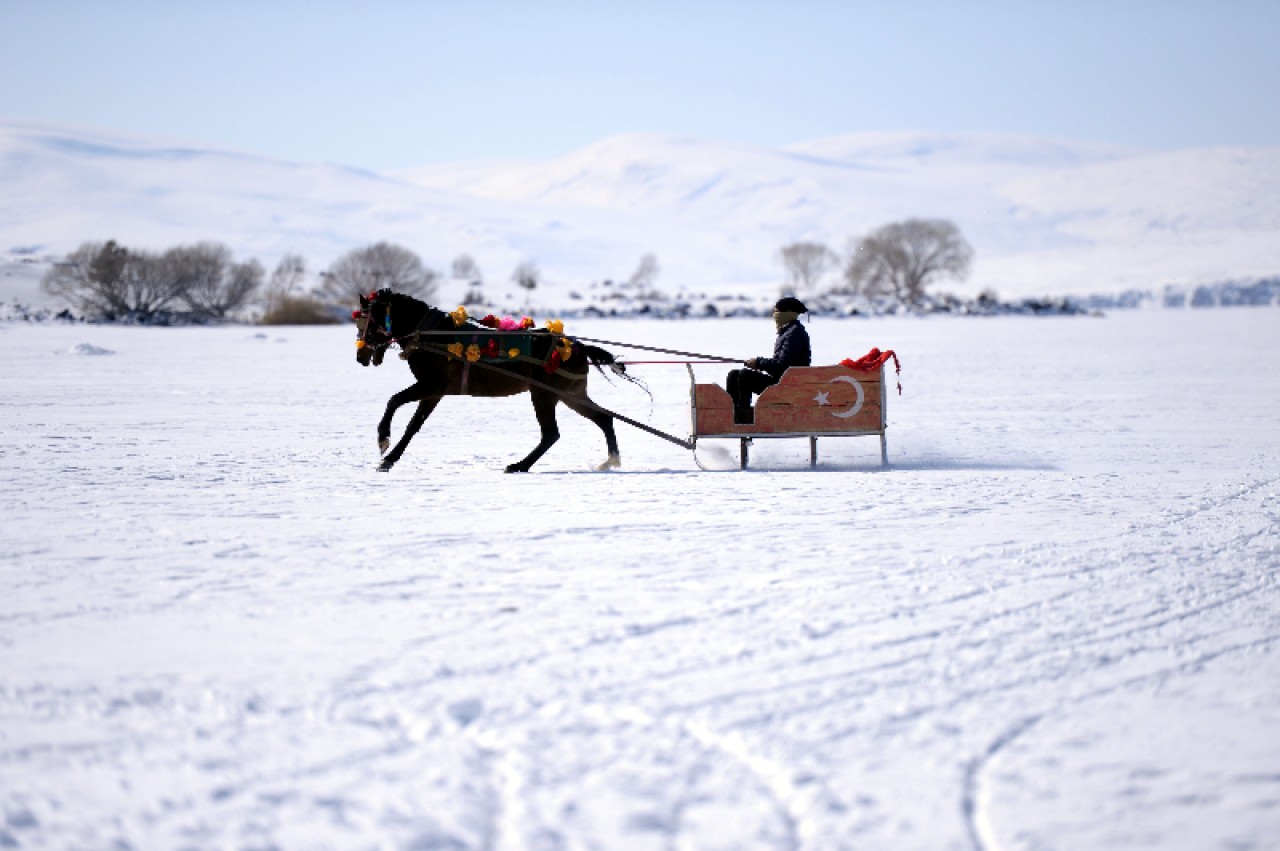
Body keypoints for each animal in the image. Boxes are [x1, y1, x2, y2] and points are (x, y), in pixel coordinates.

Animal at [355, 290, 624, 473]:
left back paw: (519, 465)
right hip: (571, 394)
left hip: (544, 394)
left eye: (366, 321)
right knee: (604, 419)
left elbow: (394, 400)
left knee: (551, 434)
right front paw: (389, 459)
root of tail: (576, 346)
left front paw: (383, 440)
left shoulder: (431, 385)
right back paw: (611, 459)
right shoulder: (434, 392)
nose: (361, 356)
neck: (433, 336)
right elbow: (413, 425)